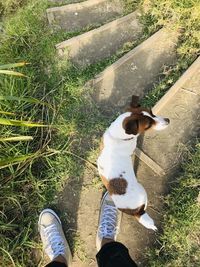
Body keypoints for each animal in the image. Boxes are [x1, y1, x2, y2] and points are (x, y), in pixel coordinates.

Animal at [97, 97, 170, 232]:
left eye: (152, 112)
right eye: (148, 126)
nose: (168, 120)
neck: (117, 136)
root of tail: (136, 212)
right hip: (143, 191)